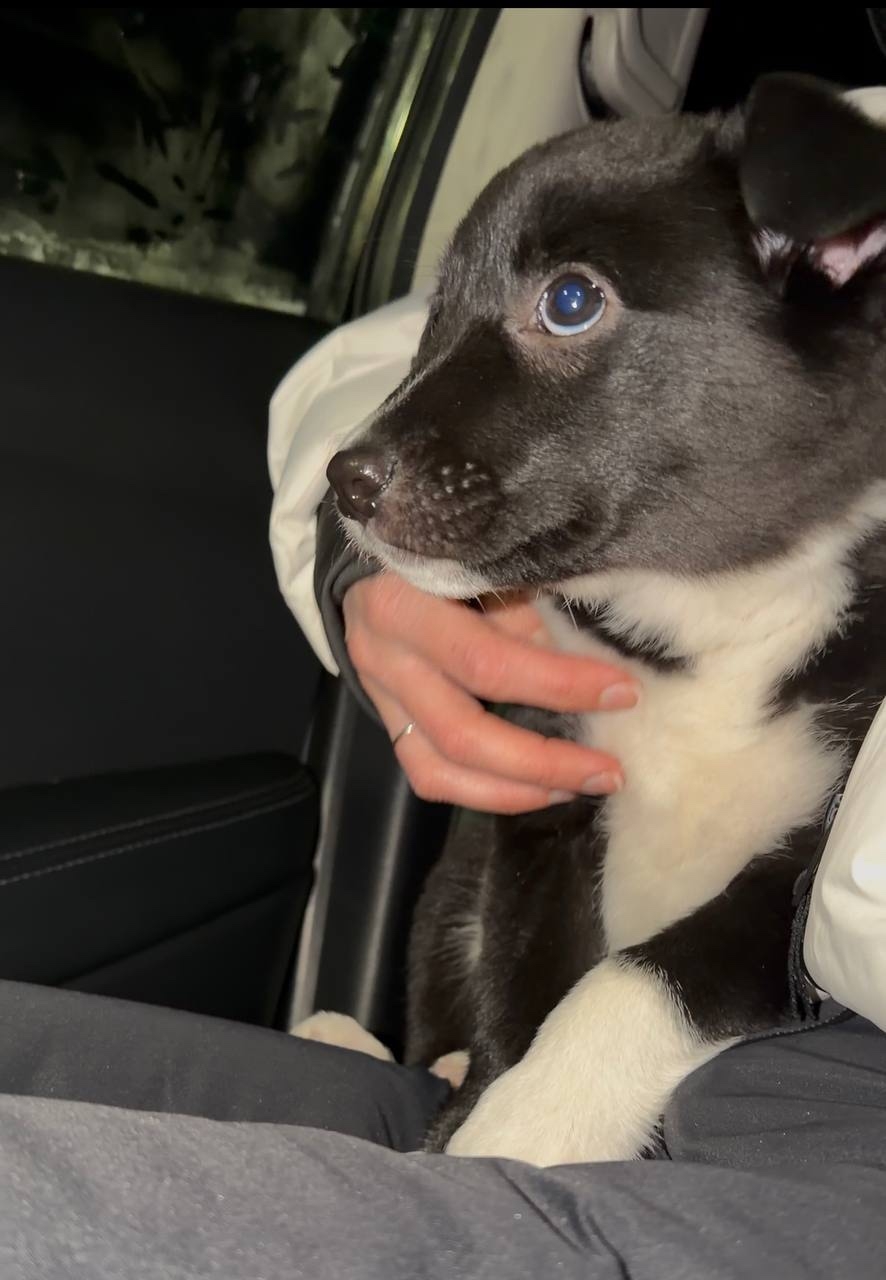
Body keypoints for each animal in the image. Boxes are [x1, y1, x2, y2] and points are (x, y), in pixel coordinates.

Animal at [319, 73, 886, 1166]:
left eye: (571, 301)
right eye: (435, 310)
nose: (343, 481)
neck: (710, 612)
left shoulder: (800, 882)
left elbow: (647, 974)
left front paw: (528, 1122)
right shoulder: (545, 801)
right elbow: (529, 980)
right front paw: (483, 1108)